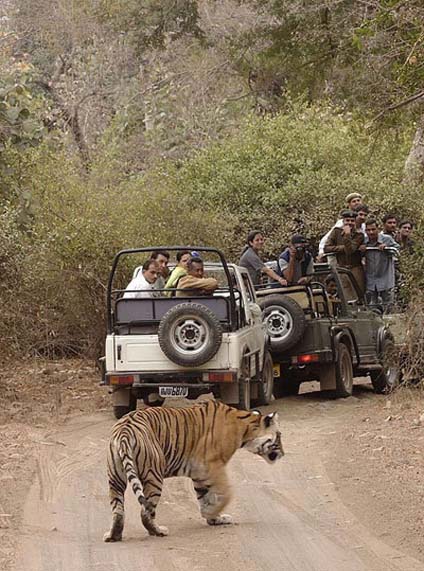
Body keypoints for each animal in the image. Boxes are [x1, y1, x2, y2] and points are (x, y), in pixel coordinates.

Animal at [103, 398, 284, 540]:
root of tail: (124, 430)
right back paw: (159, 531)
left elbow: (204, 497)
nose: (283, 454)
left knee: (118, 509)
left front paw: (213, 518)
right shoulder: (213, 466)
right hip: (153, 477)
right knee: (145, 512)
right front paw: (213, 514)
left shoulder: (199, 474)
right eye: (279, 437)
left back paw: (113, 536)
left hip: (115, 477)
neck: (244, 428)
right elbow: (225, 494)